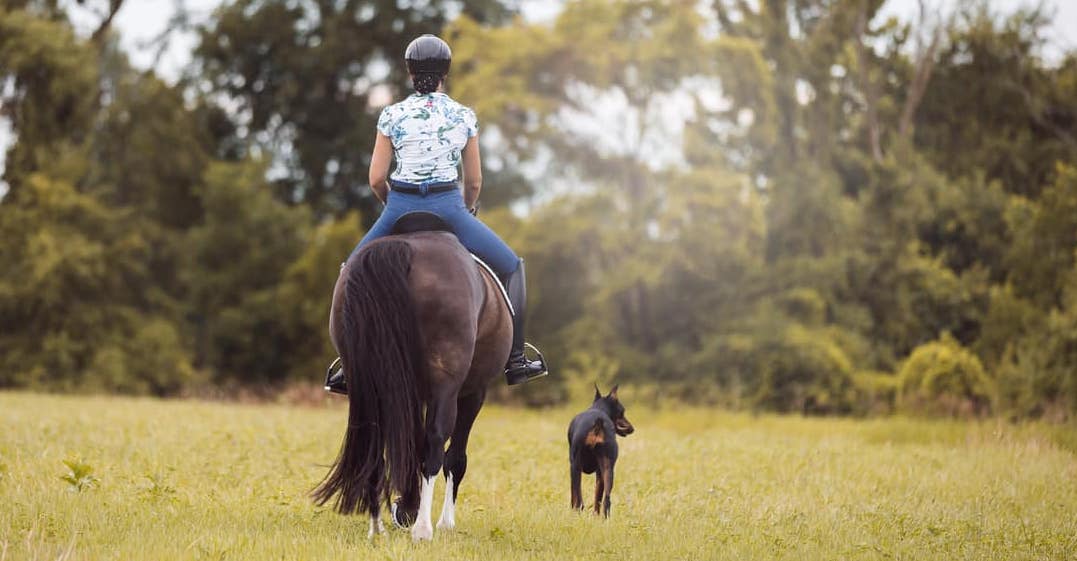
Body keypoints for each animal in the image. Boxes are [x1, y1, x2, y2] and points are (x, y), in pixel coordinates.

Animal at [312, 218, 512, 542]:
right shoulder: (473, 392)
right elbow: (454, 457)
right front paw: (441, 521)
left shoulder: (411, 391)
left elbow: (410, 446)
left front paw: (406, 507)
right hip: (446, 385)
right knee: (435, 443)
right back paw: (423, 529)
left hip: (372, 383)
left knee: (376, 445)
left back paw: (378, 526)